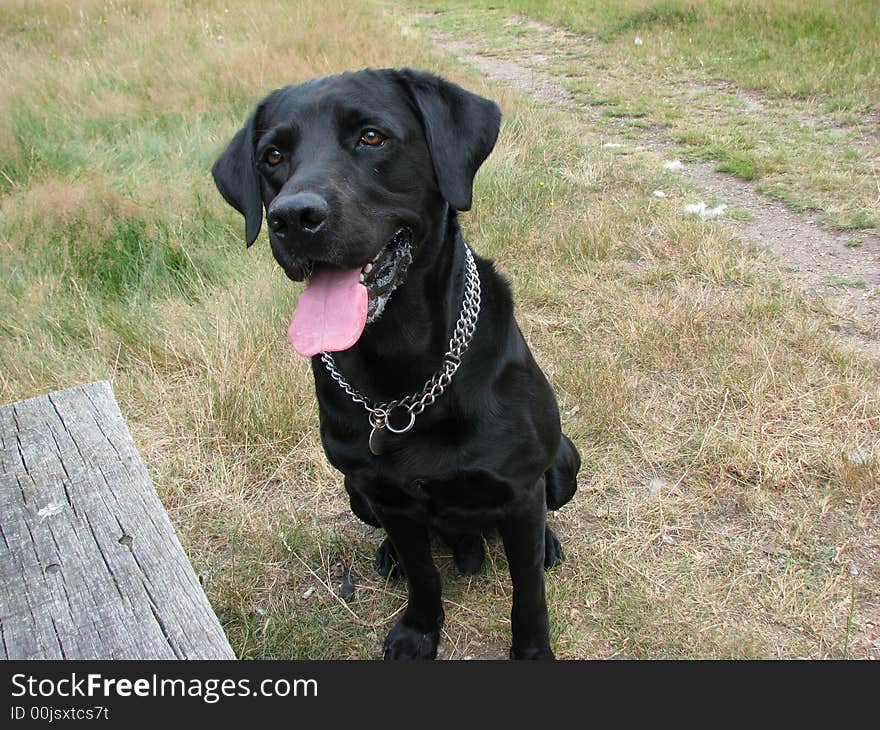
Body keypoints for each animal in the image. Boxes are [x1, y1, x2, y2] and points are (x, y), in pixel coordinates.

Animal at [212, 69, 580, 660]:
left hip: (565, 459)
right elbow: (424, 575)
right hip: (355, 492)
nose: (293, 217)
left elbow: (528, 593)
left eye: (371, 137)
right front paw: (418, 631)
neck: (402, 369)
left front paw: (531, 652)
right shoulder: (387, 495)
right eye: (272, 156)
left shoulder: (521, 489)